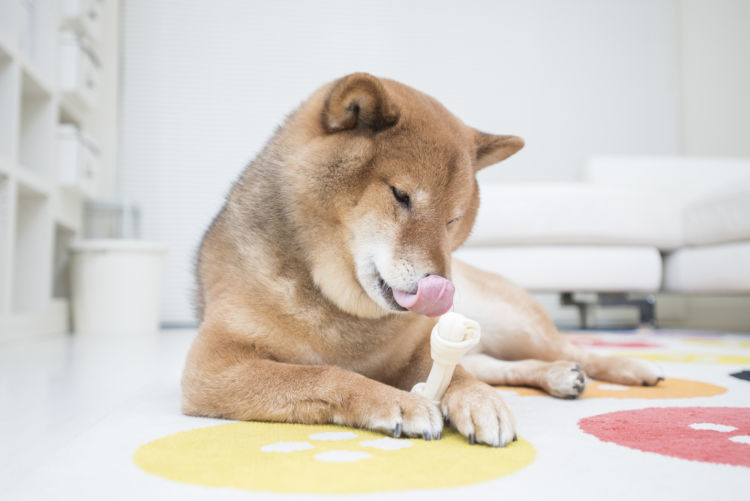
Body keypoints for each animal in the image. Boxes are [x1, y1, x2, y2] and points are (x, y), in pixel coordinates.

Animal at [184, 73, 664, 446]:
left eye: (454, 219)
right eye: (401, 195)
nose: (443, 290)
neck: (339, 306)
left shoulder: (418, 350)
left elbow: (459, 376)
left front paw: (480, 401)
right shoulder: (214, 366)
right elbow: (325, 375)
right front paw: (397, 401)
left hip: (512, 324)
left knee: (566, 348)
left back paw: (629, 366)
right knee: (504, 366)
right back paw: (563, 376)